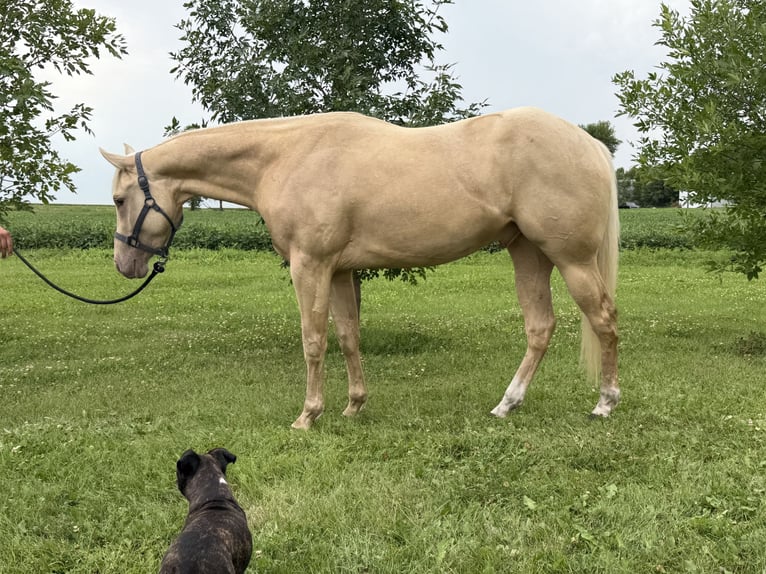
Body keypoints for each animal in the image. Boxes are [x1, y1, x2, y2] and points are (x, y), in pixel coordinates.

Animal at [101, 107, 620, 430]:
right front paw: (353, 407)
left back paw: (604, 404)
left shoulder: (309, 266)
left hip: (570, 259)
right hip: (527, 254)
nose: (125, 264)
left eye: (120, 200)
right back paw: (506, 405)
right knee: (540, 328)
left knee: (604, 321)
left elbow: (314, 340)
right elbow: (348, 336)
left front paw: (308, 415)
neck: (286, 157)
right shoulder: (339, 271)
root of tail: (591, 144)